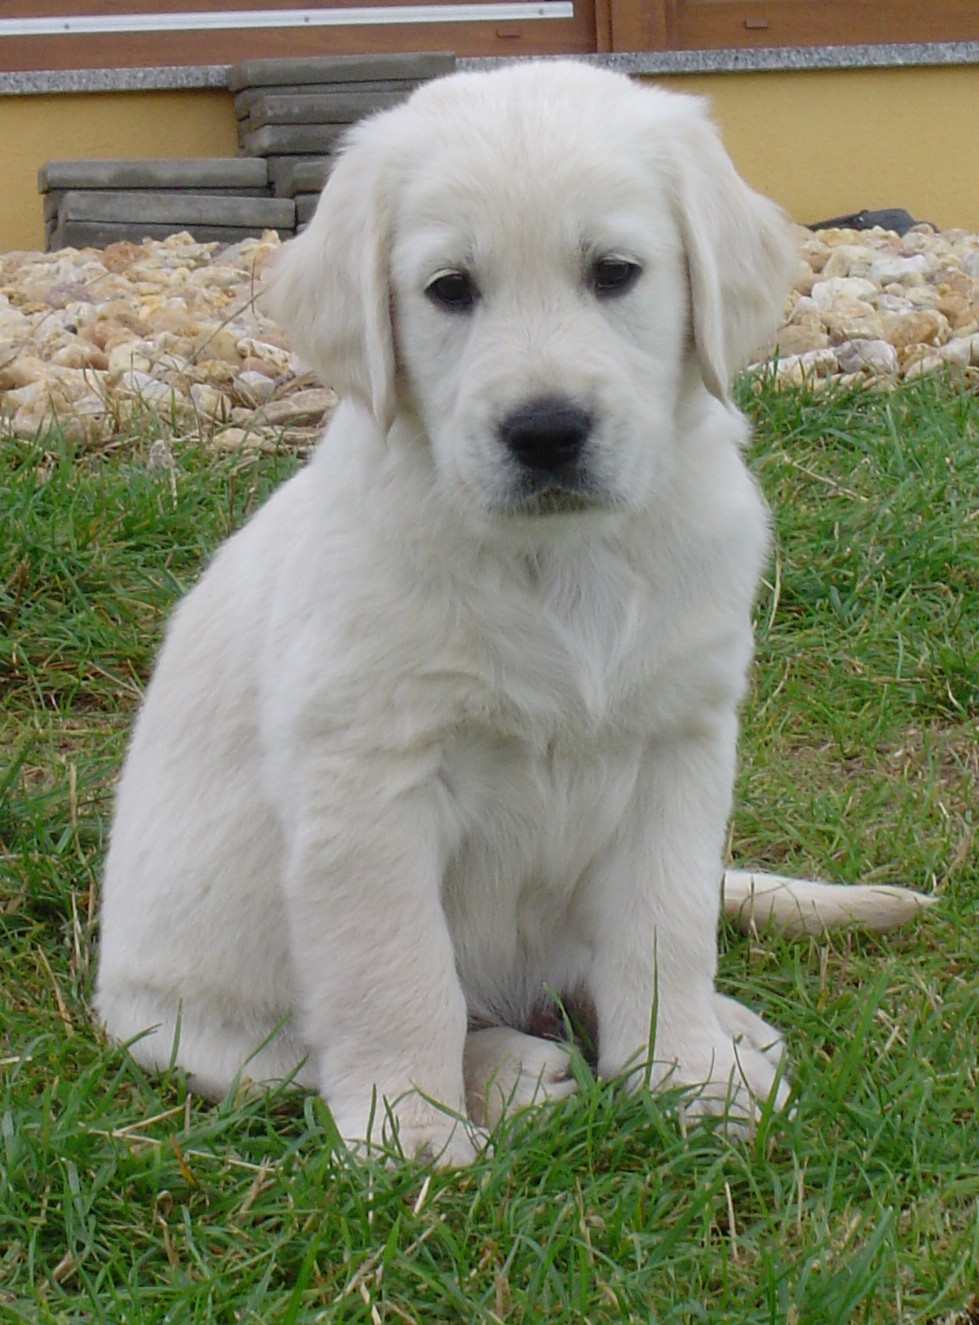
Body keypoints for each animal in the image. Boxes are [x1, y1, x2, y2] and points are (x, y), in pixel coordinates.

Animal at [96, 62, 932, 1166]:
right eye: (450, 289)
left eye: (614, 273)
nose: (544, 430)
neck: (565, 560)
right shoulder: (367, 780)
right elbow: (398, 974)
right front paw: (410, 1130)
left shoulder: (679, 744)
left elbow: (664, 930)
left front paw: (689, 1077)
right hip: (193, 1021)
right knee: (329, 1044)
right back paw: (512, 1073)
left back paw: (723, 1031)